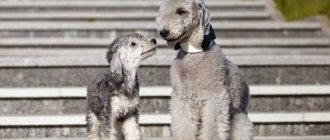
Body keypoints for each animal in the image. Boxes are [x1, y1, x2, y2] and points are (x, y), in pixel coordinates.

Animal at [156, 0, 254, 140]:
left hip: (240, 120)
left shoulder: (215, 98)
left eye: (181, 11)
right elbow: (184, 125)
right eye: (162, 11)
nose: (163, 32)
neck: (194, 52)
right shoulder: (182, 99)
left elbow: (212, 128)